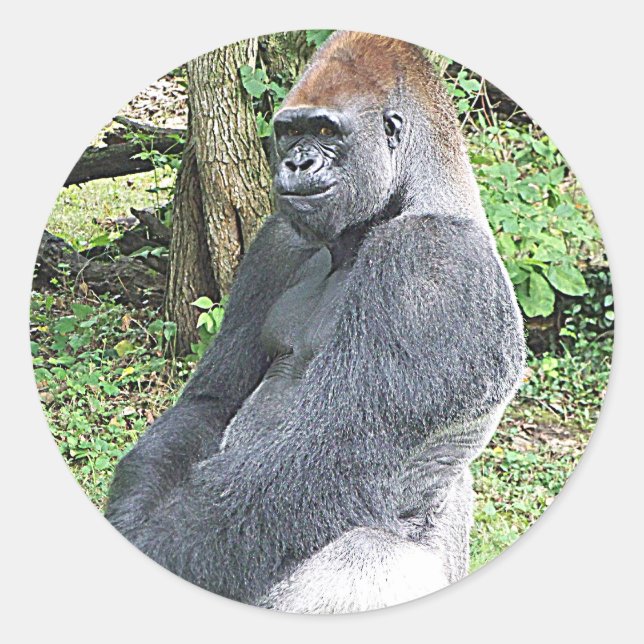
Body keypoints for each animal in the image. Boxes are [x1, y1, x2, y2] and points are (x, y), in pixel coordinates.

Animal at [106, 31, 525, 613]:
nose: (297, 164)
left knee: (370, 560)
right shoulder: (277, 241)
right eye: (290, 132)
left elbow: (326, 455)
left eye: (326, 132)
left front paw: (158, 553)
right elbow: (209, 401)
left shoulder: (431, 264)